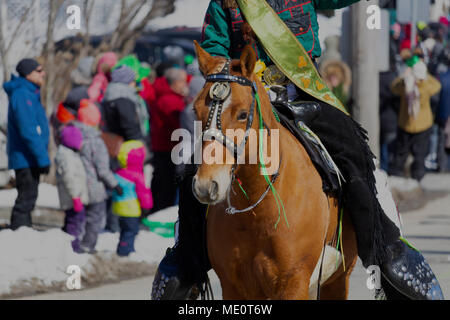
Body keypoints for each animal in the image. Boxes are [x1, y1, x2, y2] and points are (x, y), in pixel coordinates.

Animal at [193, 42, 358, 300]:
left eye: (242, 114)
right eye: (195, 111)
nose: (206, 185)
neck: (256, 212)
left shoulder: (294, 282)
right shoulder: (232, 286)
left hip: (339, 279)